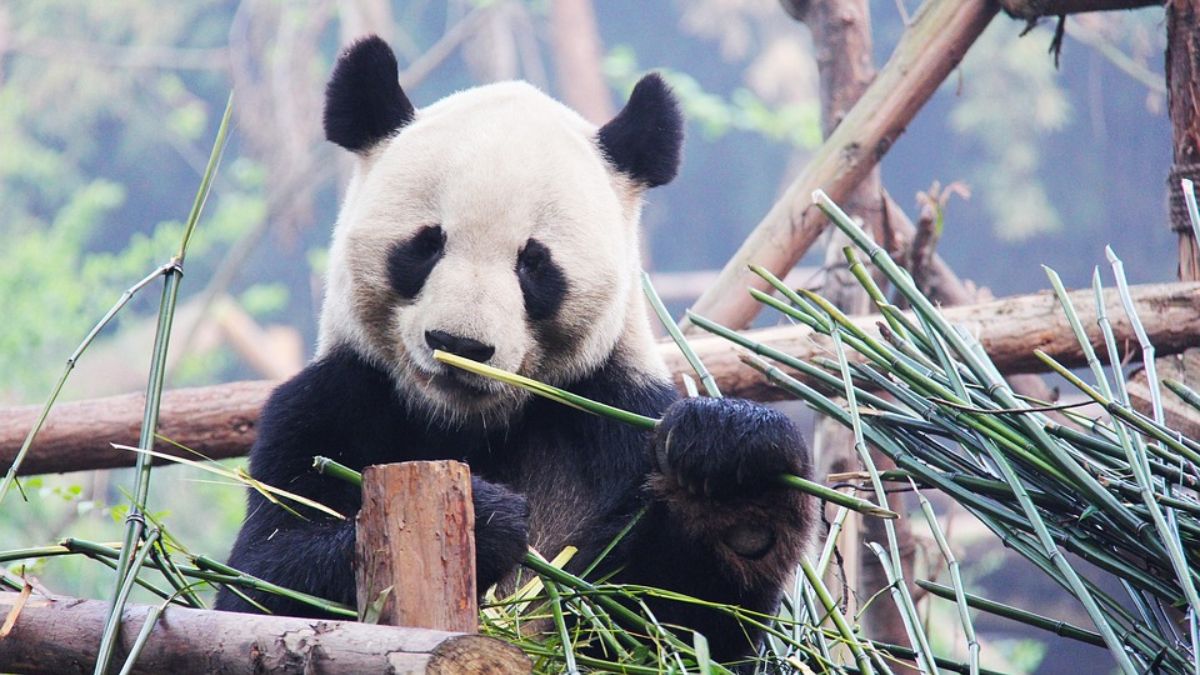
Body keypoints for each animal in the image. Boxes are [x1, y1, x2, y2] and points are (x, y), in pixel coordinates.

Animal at [216, 35, 815, 663]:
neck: (469, 425)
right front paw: (487, 519)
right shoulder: (328, 403)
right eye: (426, 245)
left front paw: (734, 474)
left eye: (534, 263)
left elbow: (676, 625)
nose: (458, 344)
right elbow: (260, 583)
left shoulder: (617, 414)